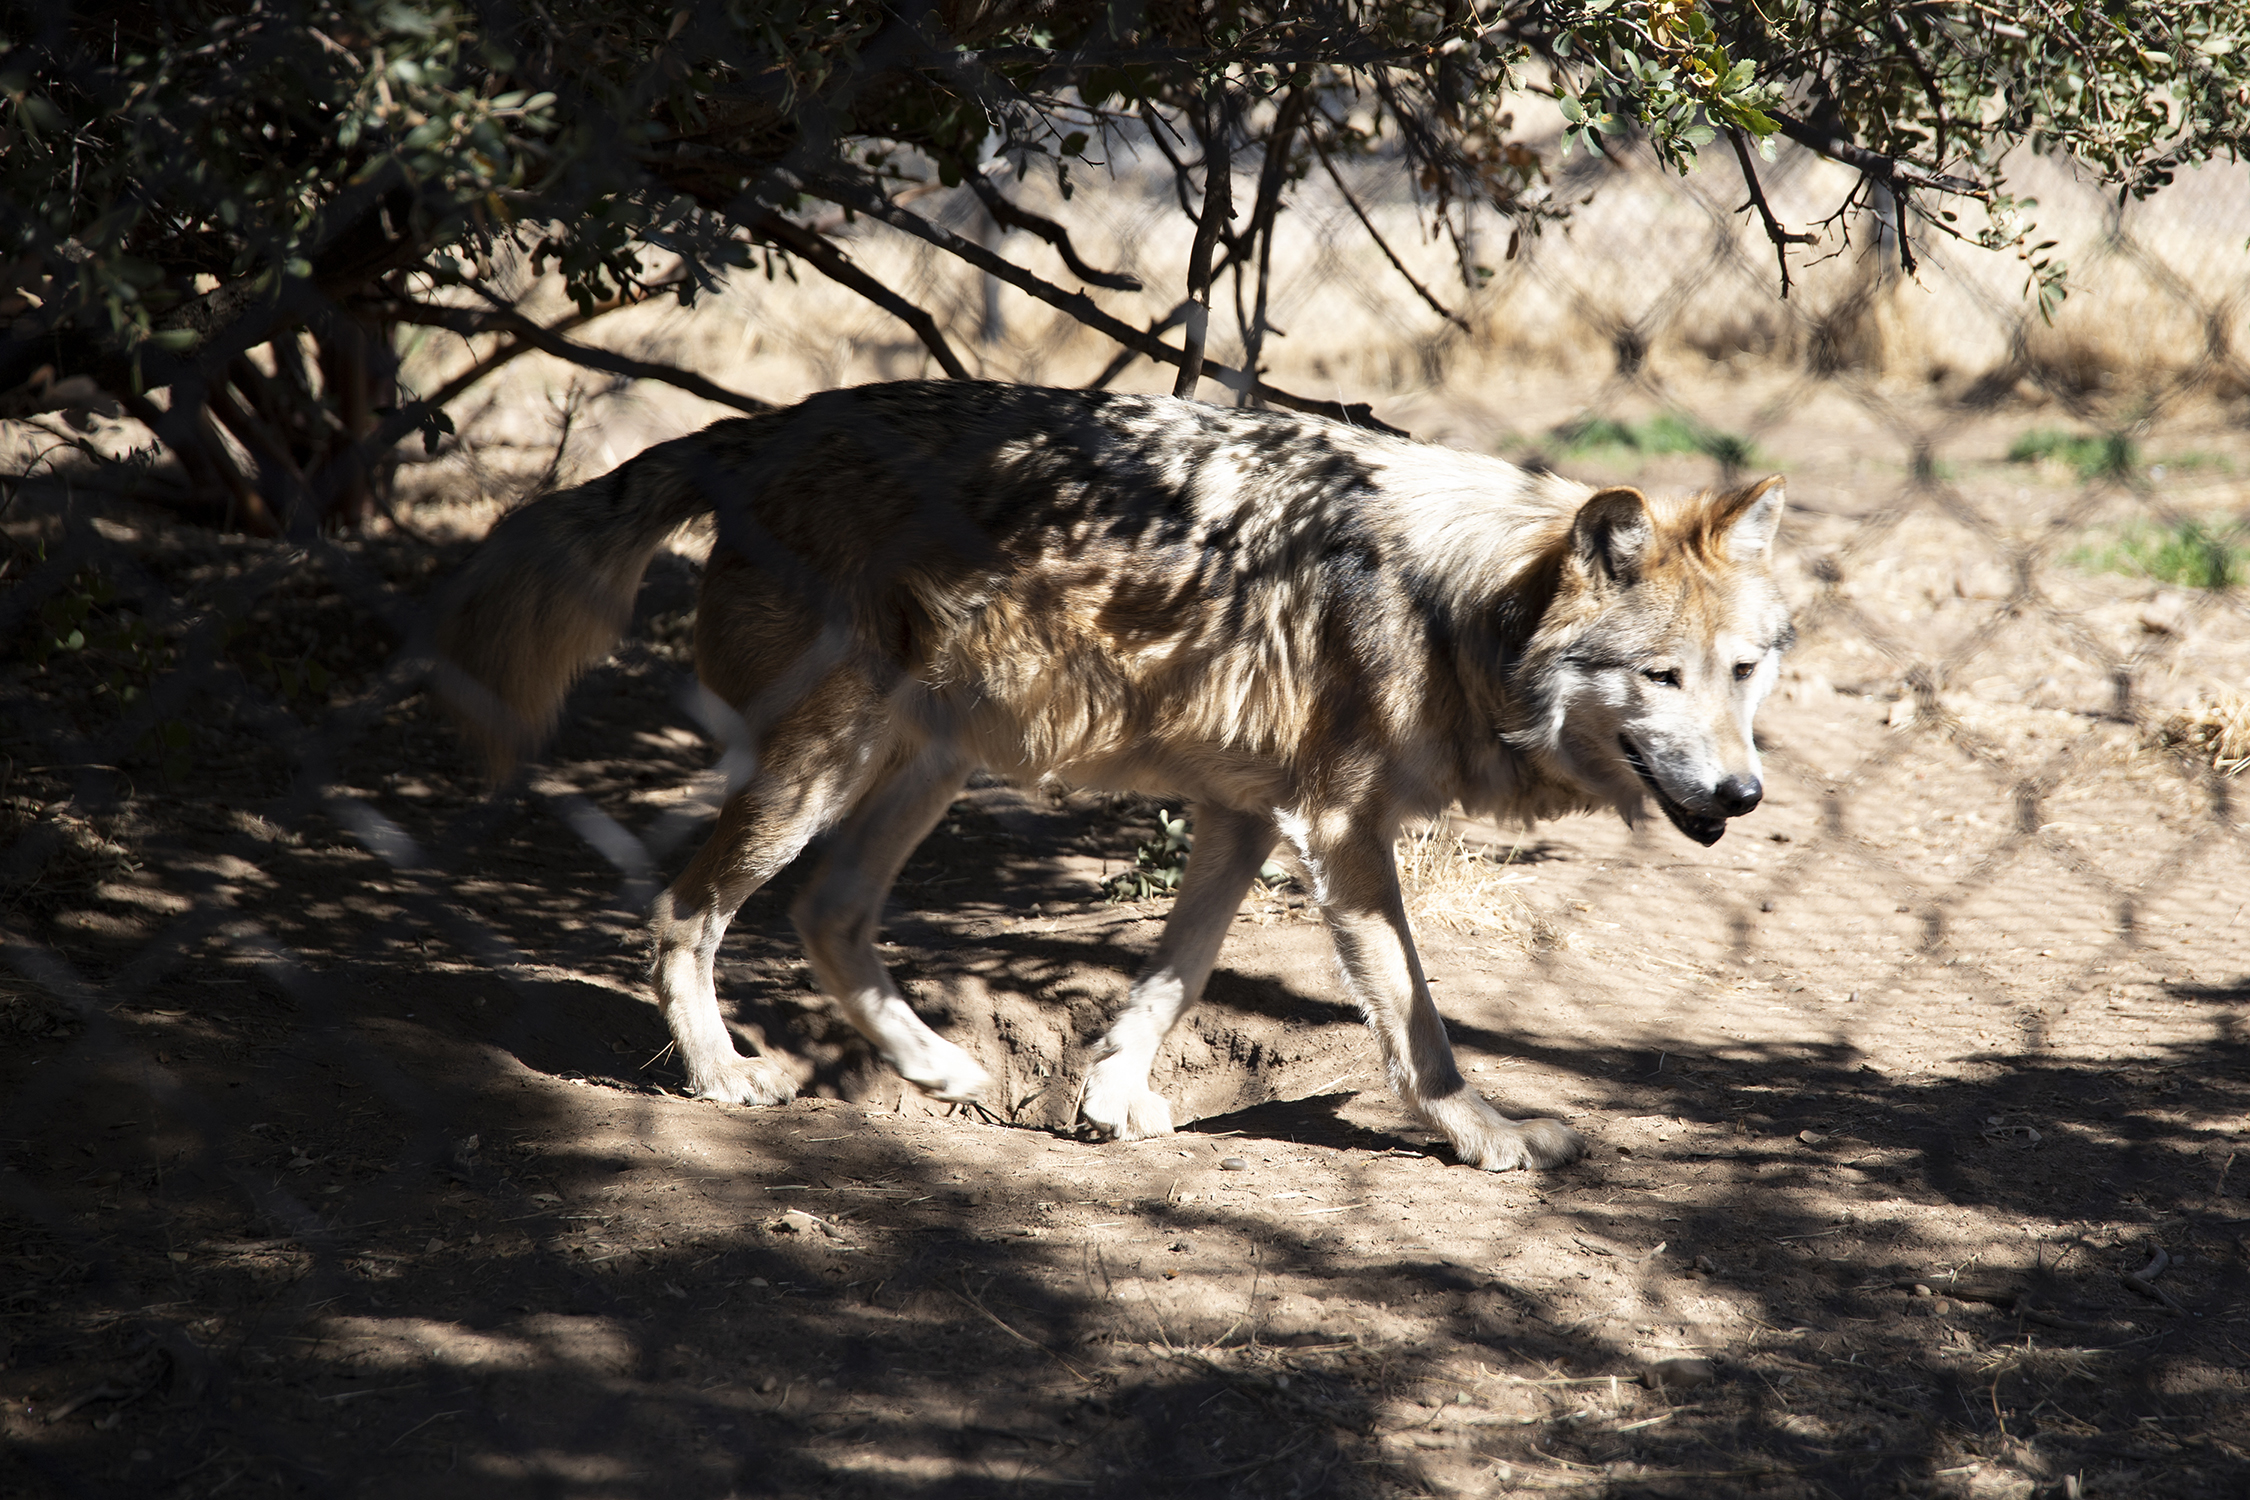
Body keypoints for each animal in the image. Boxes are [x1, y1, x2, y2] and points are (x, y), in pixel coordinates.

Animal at [438, 377, 1791, 1169]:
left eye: (1745, 673)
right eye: (1662, 678)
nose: (1743, 798)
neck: (1458, 602)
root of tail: (762, 428)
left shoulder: (1246, 819)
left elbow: (1171, 980)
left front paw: (1107, 1102)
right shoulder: (1339, 830)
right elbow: (1416, 1020)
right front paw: (1481, 1132)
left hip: (929, 764)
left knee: (828, 916)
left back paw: (944, 1071)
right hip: (825, 767)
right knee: (685, 910)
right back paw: (724, 1078)